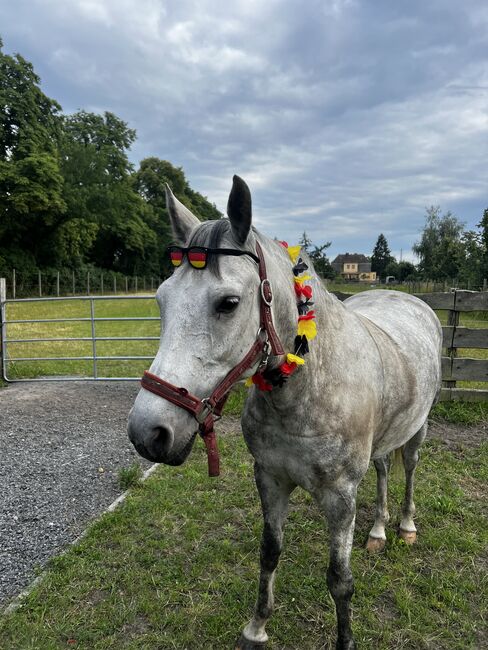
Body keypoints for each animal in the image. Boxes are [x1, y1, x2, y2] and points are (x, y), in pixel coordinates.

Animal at [129, 175, 442, 644]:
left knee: (408, 468)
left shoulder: (340, 497)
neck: (302, 394)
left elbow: (340, 581)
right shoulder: (270, 479)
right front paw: (257, 627)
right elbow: (269, 553)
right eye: (161, 300)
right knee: (385, 468)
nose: (147, 432)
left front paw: (345, 640)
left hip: (417, 429)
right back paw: (378, 531)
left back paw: (404, 526)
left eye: (228, 303)